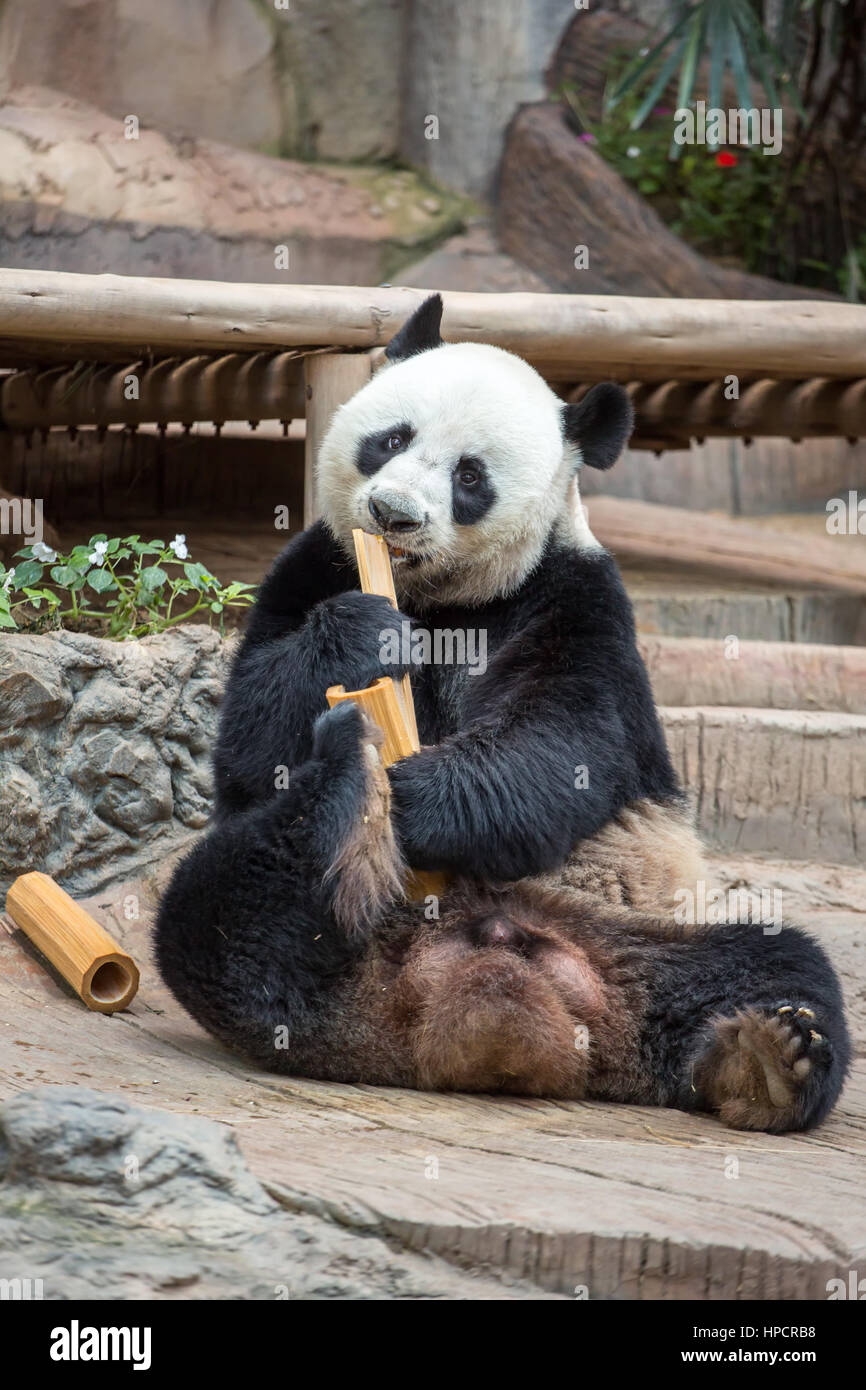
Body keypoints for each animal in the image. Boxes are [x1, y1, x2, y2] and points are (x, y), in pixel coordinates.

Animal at [152, 293, 850, 1128]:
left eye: (470, 475)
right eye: (392, 438)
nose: (392, 513)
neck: (437, 598)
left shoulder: (570, 596)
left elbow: (562, 738)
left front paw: (417, 797)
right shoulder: (316, 562)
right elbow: (249, 740)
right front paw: (361, 638)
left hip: (638, 935)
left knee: (778, 964)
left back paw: (767, 1061)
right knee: (216, 910)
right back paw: (345, 781)